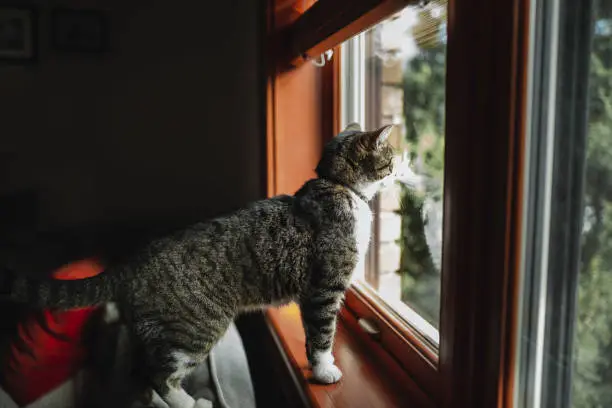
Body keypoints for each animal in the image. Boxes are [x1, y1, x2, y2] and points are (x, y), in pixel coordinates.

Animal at [1, 123, 406, 408]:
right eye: (391, 159)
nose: (403, 167)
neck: (339, 188)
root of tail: (129, 264)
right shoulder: (324, 289)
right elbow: (321, 335)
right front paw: (324, 371)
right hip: (197, 328)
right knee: (158, 377)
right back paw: (190, 402)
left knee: (139, 376)